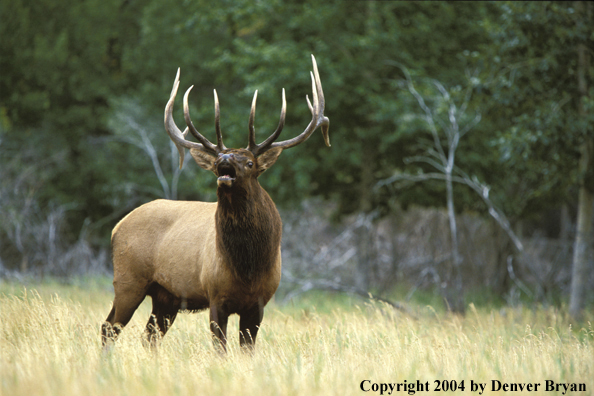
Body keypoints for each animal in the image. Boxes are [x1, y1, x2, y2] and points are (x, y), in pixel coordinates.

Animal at [98, 54, 328, 352]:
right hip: (128, 280)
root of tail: (116, 227)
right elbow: (221, 349)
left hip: (166, 297)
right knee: (109, 327)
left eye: (250, 163)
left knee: (148, 336)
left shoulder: (259, 303)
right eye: (220, 159)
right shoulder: (216, 295)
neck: (248, 268)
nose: (224, 160)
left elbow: (247, 350)